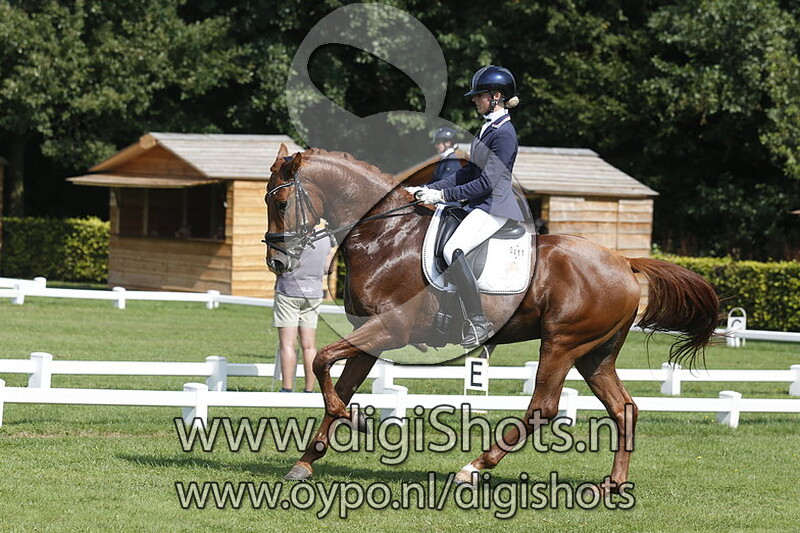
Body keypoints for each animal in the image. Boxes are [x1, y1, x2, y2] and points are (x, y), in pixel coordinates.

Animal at [263, 143, 720, 491]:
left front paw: (354, 420)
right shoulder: (369, 335)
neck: (385, 237)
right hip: (596, 353)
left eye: (282, 202)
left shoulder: (390, 330)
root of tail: (625, 262)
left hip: (562, 343)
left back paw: (473, 468)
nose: (276, 262)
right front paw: (308, 458)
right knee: (623, 408)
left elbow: (321, 360)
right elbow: (339, 382)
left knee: (543, 408)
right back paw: (613, 484)